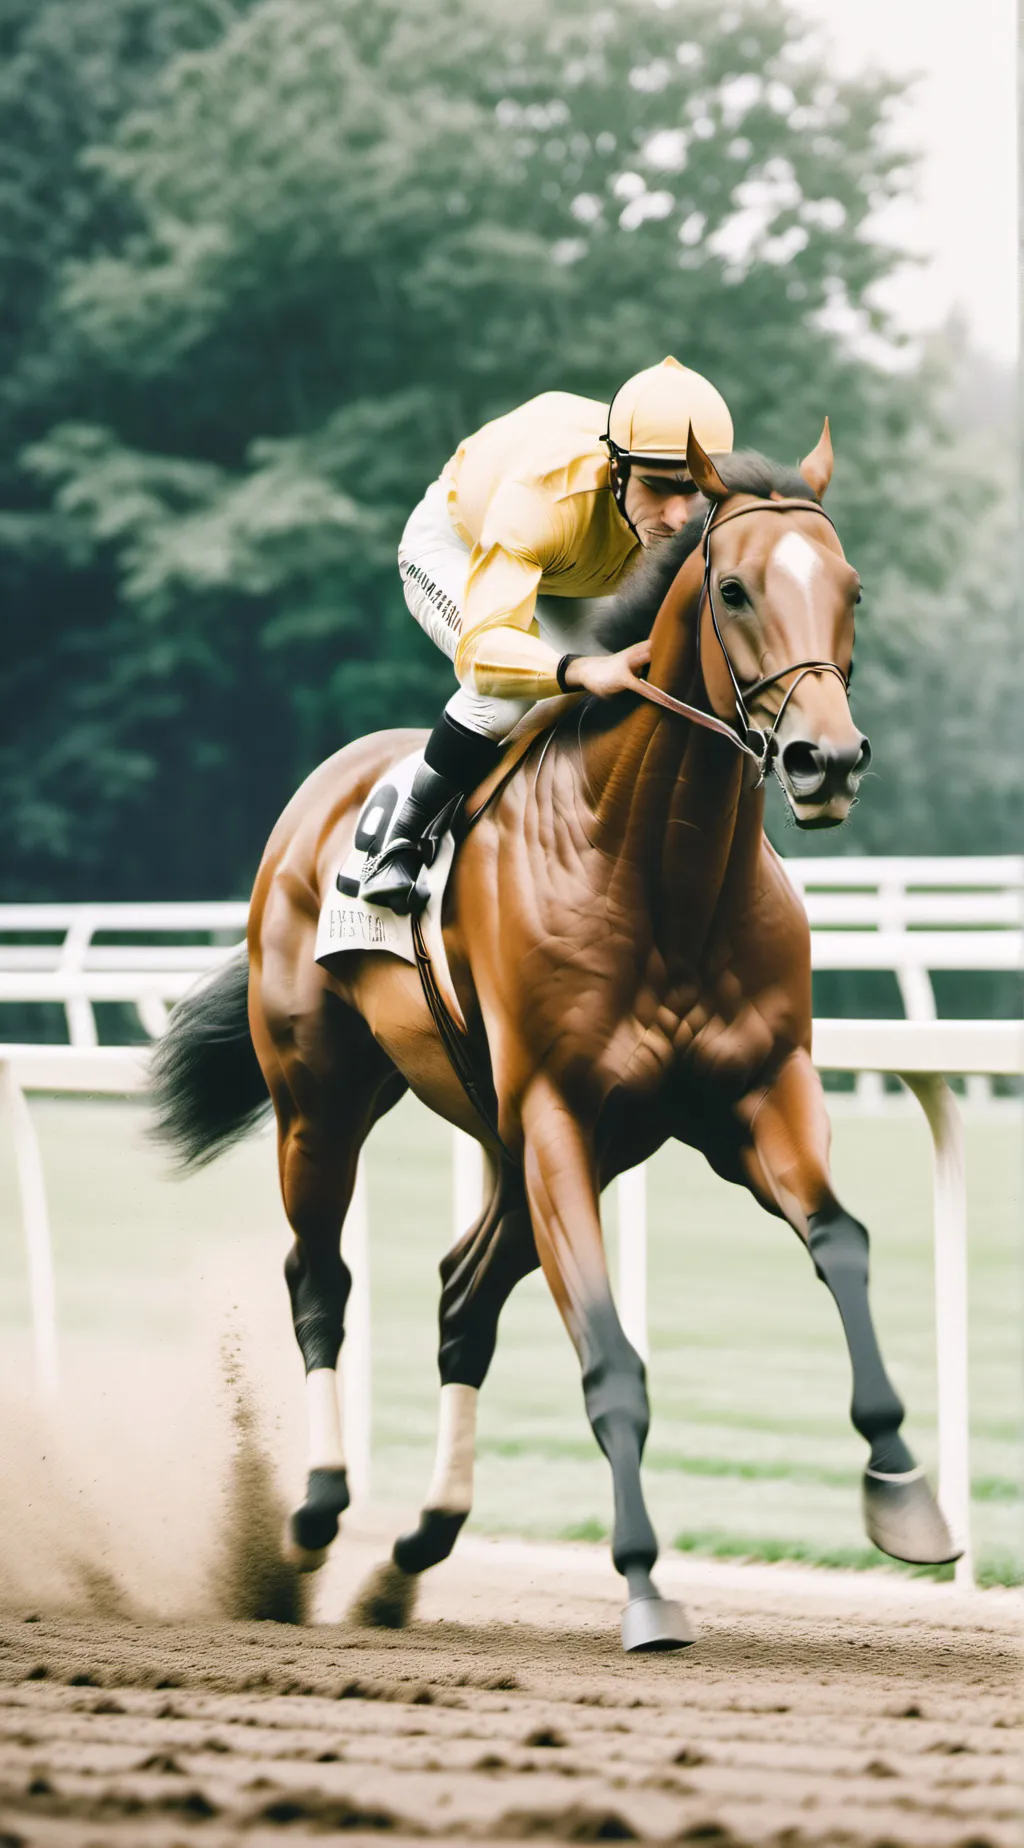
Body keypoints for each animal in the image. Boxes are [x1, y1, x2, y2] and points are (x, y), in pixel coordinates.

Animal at [152, 423, 958, 1653]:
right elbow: (610, 1358)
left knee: (460, 1295)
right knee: (319, 1276)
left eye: (851, 588)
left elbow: (843, 1242)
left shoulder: (753, 1095)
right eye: (734, 589)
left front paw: (904, 1488)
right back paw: (319, 1513)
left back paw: (418, 1546)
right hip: (322, 1099)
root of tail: (318, 797)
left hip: (511, 1140)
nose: (827, 761)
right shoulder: (559, 1118)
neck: (661, 870)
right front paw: (643, 1581)